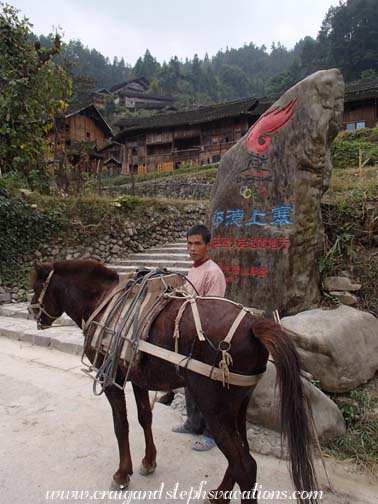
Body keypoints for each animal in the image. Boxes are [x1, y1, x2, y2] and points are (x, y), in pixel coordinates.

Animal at [30, 260, 318, 504]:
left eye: (35, 287)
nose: (34, 313)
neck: (103, 300)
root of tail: (253, 326)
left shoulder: (110, 378)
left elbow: (121, 425)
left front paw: (122, 474)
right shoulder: (137, 377)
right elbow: (144, 417)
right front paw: (149, 461)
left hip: (214, 408)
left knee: (245, 465)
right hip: (238, 405)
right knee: (241, 456)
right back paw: (219, 495)